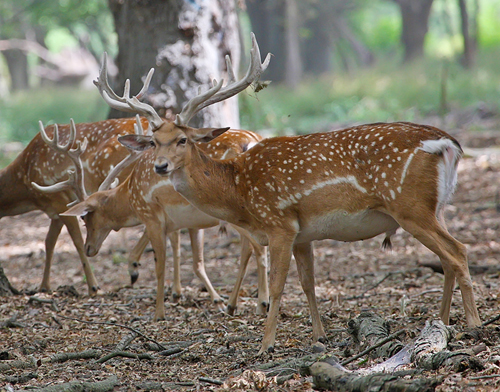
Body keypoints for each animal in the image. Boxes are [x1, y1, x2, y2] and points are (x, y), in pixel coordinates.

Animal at [114, 33, 480, 354]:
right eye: (153, 141)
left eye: (182, 139)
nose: (160, 166)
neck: (239, 193)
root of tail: (449, 144)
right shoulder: (304, 234)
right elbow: (308, 284)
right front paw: (320, 336)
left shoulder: (280, 223)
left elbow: (278, 285)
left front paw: (266, 344)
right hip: (435, 207)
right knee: (447, 257)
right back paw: (442, 322)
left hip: (410, 205)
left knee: (458, 251)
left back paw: (473, 325)